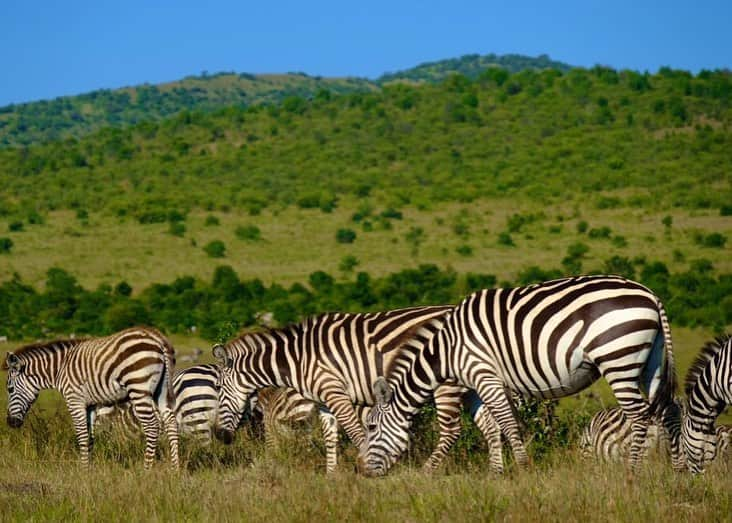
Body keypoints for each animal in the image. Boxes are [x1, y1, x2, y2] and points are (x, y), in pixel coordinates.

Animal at [4, 328, 180, 470]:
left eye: (10, 389)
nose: (10, 422)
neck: (59, 370)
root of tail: (158, 338)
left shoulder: (74, 400)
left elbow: (82, 435)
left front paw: (82, 471)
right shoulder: (91, 404)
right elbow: (90, 437)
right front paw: (89, 469)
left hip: (138, 388)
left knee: (152, 426)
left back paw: (146, 469)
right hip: (161, 390)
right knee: (171, 422)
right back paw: (175, 469)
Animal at [214, 308, 506, 474]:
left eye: (218, 389)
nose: (219, 435)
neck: (297, 358)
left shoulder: (336, 393)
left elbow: (355, 432)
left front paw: (365, 466)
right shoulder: (324, 399)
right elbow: (330, 436)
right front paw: (331, 476)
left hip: (445, 383)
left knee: (451, 430)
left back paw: (427, 472)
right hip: (470, 384)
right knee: (490, 425)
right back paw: (496, 473)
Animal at [358, 276, 684, 476]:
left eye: (372, 427)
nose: (363, 472)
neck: (448, 350)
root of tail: (650, 294)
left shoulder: (484, 374)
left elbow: (506, 423)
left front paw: (523, 468)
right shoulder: (476, 385)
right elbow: (490, 428)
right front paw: (496, 473)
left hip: (618, 357)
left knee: (639, 415)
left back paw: (633, 471)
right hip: (650, 361)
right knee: (667, 412)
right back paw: (676, 469)